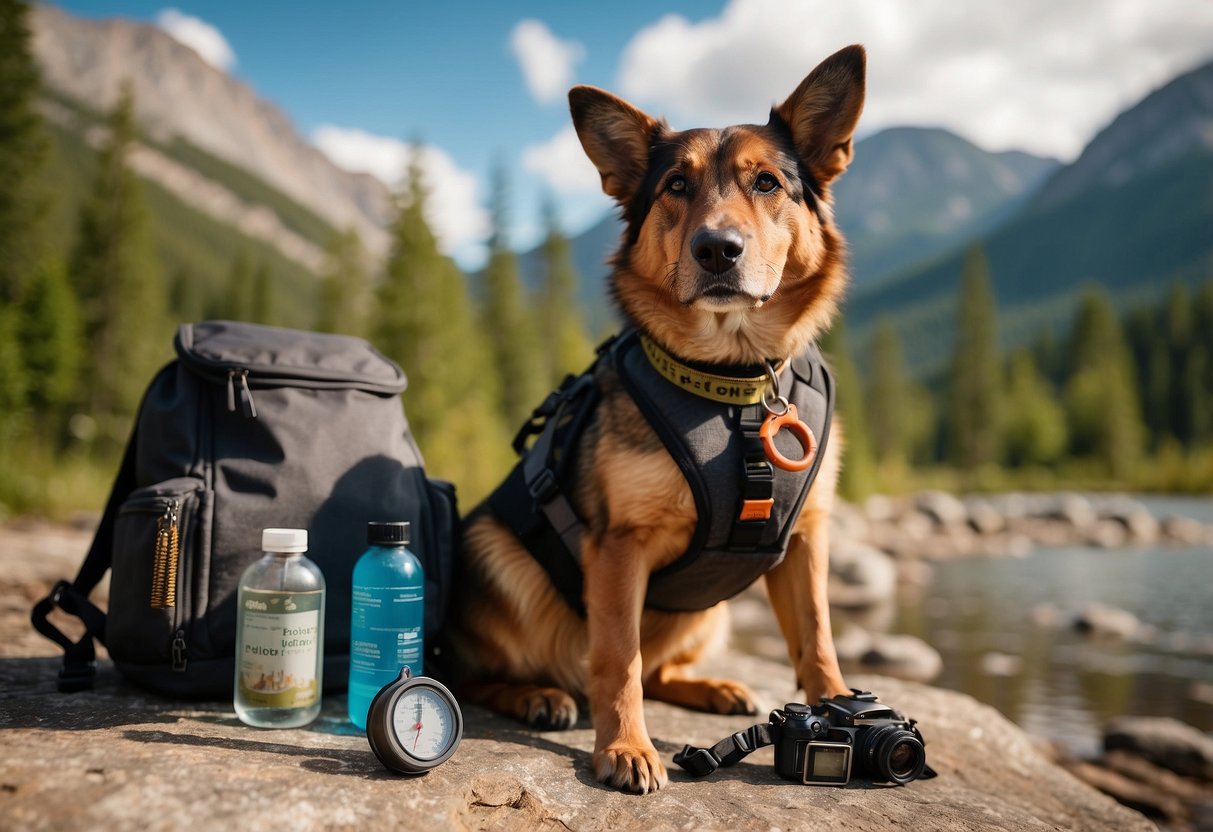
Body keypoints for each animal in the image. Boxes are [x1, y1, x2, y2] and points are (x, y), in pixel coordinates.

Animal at [446, 43, 863, 795]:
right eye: (675, 185)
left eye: (767, 183)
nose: (716, 248)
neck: (735, 383)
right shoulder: (619, 546)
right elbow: (619, 659)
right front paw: (625, 747)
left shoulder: (806, 539)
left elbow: (816, 639)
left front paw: (843, 714)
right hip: (491, 546)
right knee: (473, 673)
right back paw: (535, 695)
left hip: (710, 610)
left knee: (665, 665)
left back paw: (710, 687)